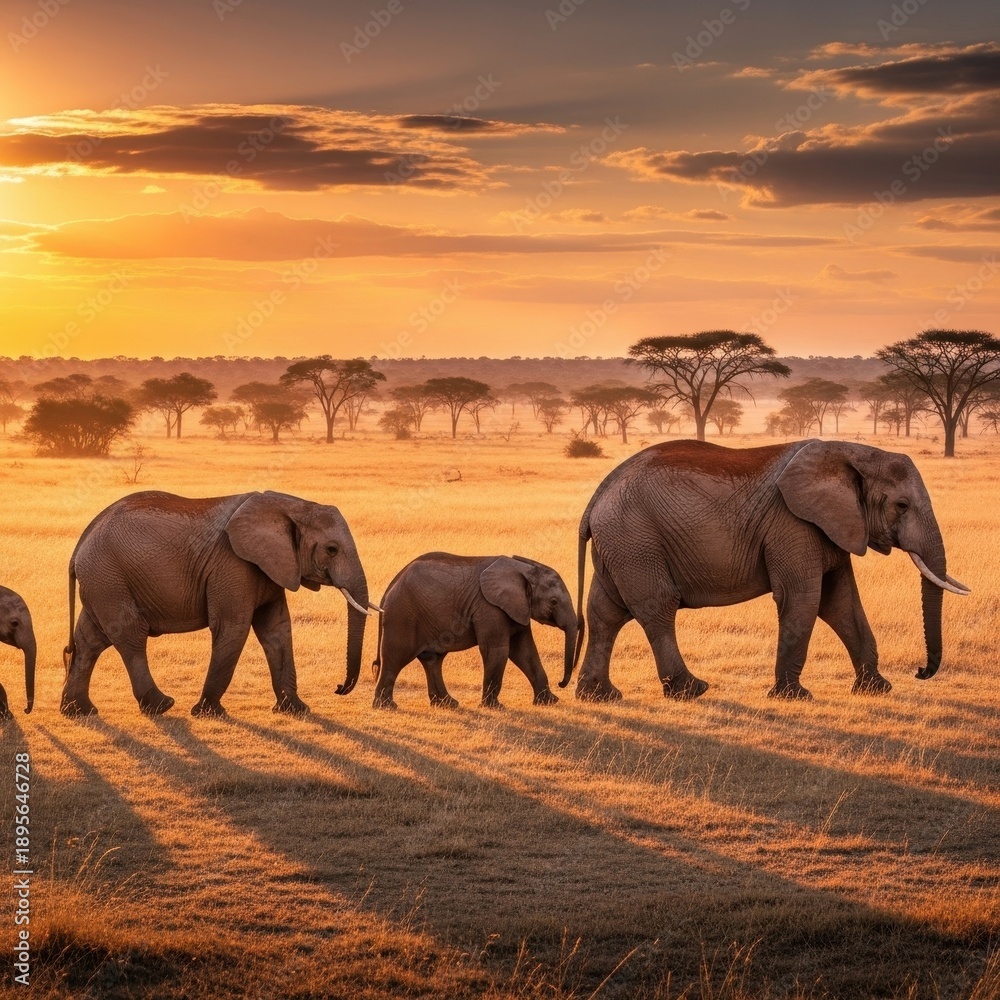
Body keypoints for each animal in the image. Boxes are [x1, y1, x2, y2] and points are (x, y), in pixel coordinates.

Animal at [61, 490, 375, 718]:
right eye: (332, 549)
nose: (339, 688)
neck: (292, 504)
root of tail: (79, 545)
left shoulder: (270, 568)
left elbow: (277, 631)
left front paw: (296, 711)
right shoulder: (233, 566)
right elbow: (233, 628)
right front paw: (208, 713)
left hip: (103, 581)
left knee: (90, 640)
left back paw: (78, 712)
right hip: (108, 576)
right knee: (130, 634)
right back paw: (161, 706)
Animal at [371, 553, 578, 710]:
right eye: (554, 602)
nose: (561, 683)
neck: (524, 569)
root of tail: (391, 585)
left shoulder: (517, 608)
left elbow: (525, 652)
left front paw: (549, 702)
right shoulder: (489, 608)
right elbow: (498, 650)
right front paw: (494, 707)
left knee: (433, 660)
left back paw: (447, 704)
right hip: (402, 615)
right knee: (395, 658)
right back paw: (387, 706)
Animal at [573, 440, 970, 702]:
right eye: (902, 505)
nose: (921, 672)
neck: (851, 453)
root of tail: (598, 495)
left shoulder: (832, 526)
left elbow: (840, 603)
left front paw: (876, 689)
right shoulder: (792, 524)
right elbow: (804, 599)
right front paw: (793, 696)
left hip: (621, 545)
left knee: (605, 613)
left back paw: (600, 696)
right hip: (635, 539)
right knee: (657, 607)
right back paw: (692, 690)